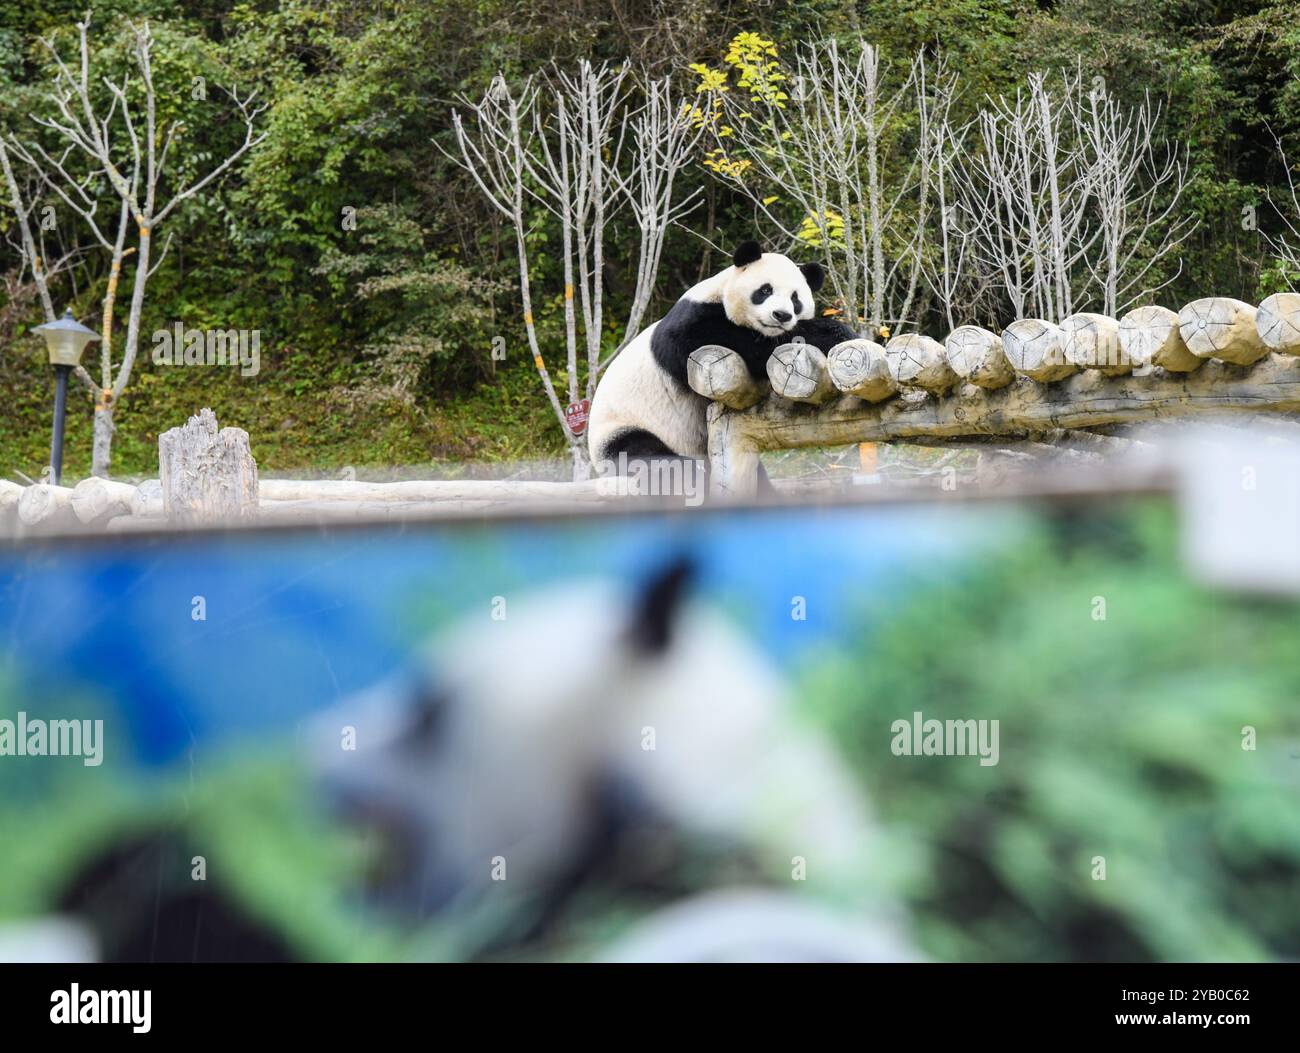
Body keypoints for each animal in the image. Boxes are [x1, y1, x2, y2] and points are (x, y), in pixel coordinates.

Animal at [590, 240, 863, 486]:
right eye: (765, 290)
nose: (782, 315)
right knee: (646, 455)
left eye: (795, 299)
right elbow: (722, 338)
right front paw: (832, 332)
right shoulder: (693, 320)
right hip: (624, 426)